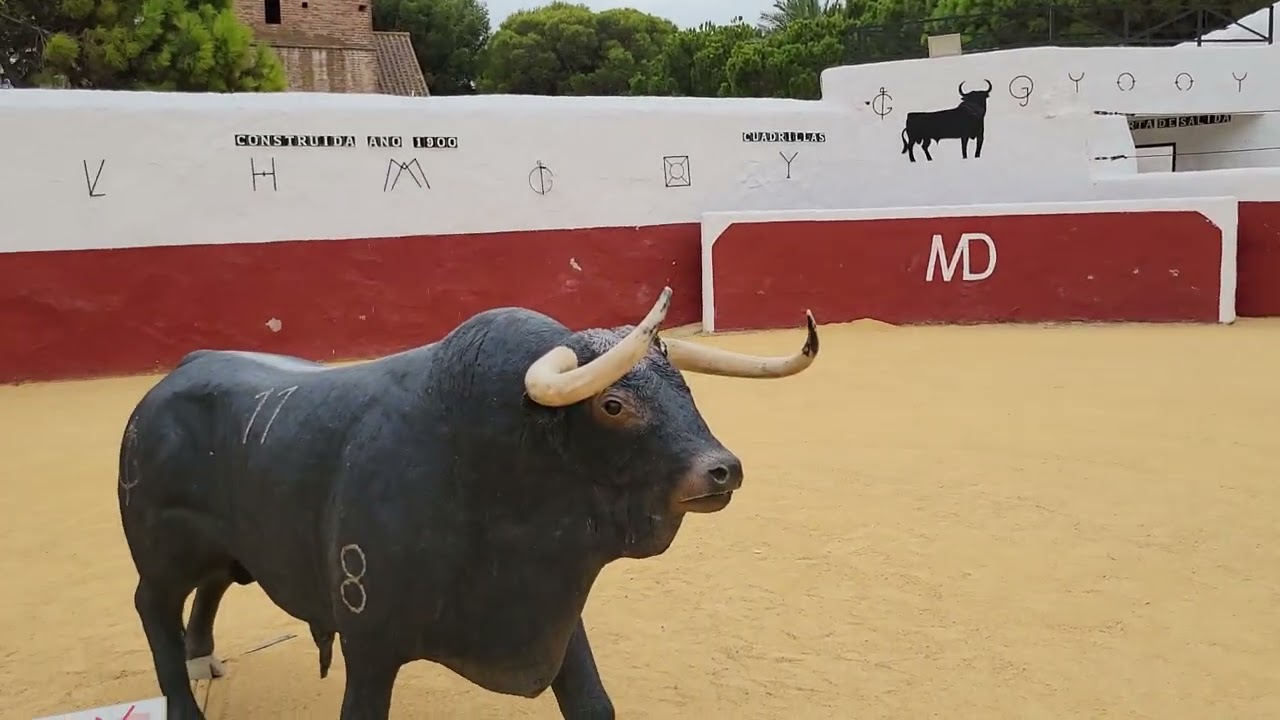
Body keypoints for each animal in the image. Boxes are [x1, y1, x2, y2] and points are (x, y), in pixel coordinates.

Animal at [118, 287, 820, 719]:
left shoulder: (555, 613)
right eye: (613, 404)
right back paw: (183, 702)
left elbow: (593, 702)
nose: (723, 469)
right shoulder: (369, 640)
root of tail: (176, 375)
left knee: (211, 587)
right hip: (162, 553)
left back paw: (202, 657)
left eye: (684, 387)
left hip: (226, 547)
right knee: (154, 606)